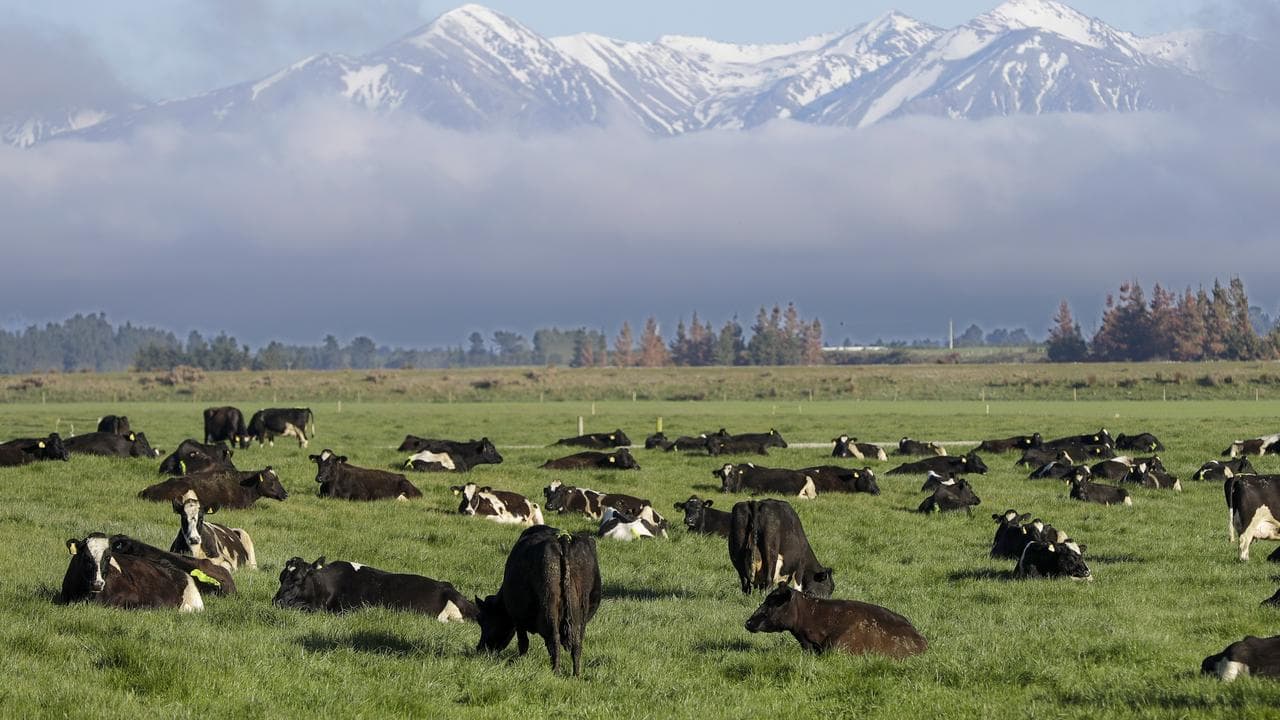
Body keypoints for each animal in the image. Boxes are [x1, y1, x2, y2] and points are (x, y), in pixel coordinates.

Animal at [475, 525, 602, 676]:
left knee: (554, 640)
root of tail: (563, 538)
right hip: (580, 610)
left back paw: (556, 672)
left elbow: (523, 643)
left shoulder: (518, 619)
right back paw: (576, 675)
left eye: (482, 621)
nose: (479, 648)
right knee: (577, 643)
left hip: (549, 605)